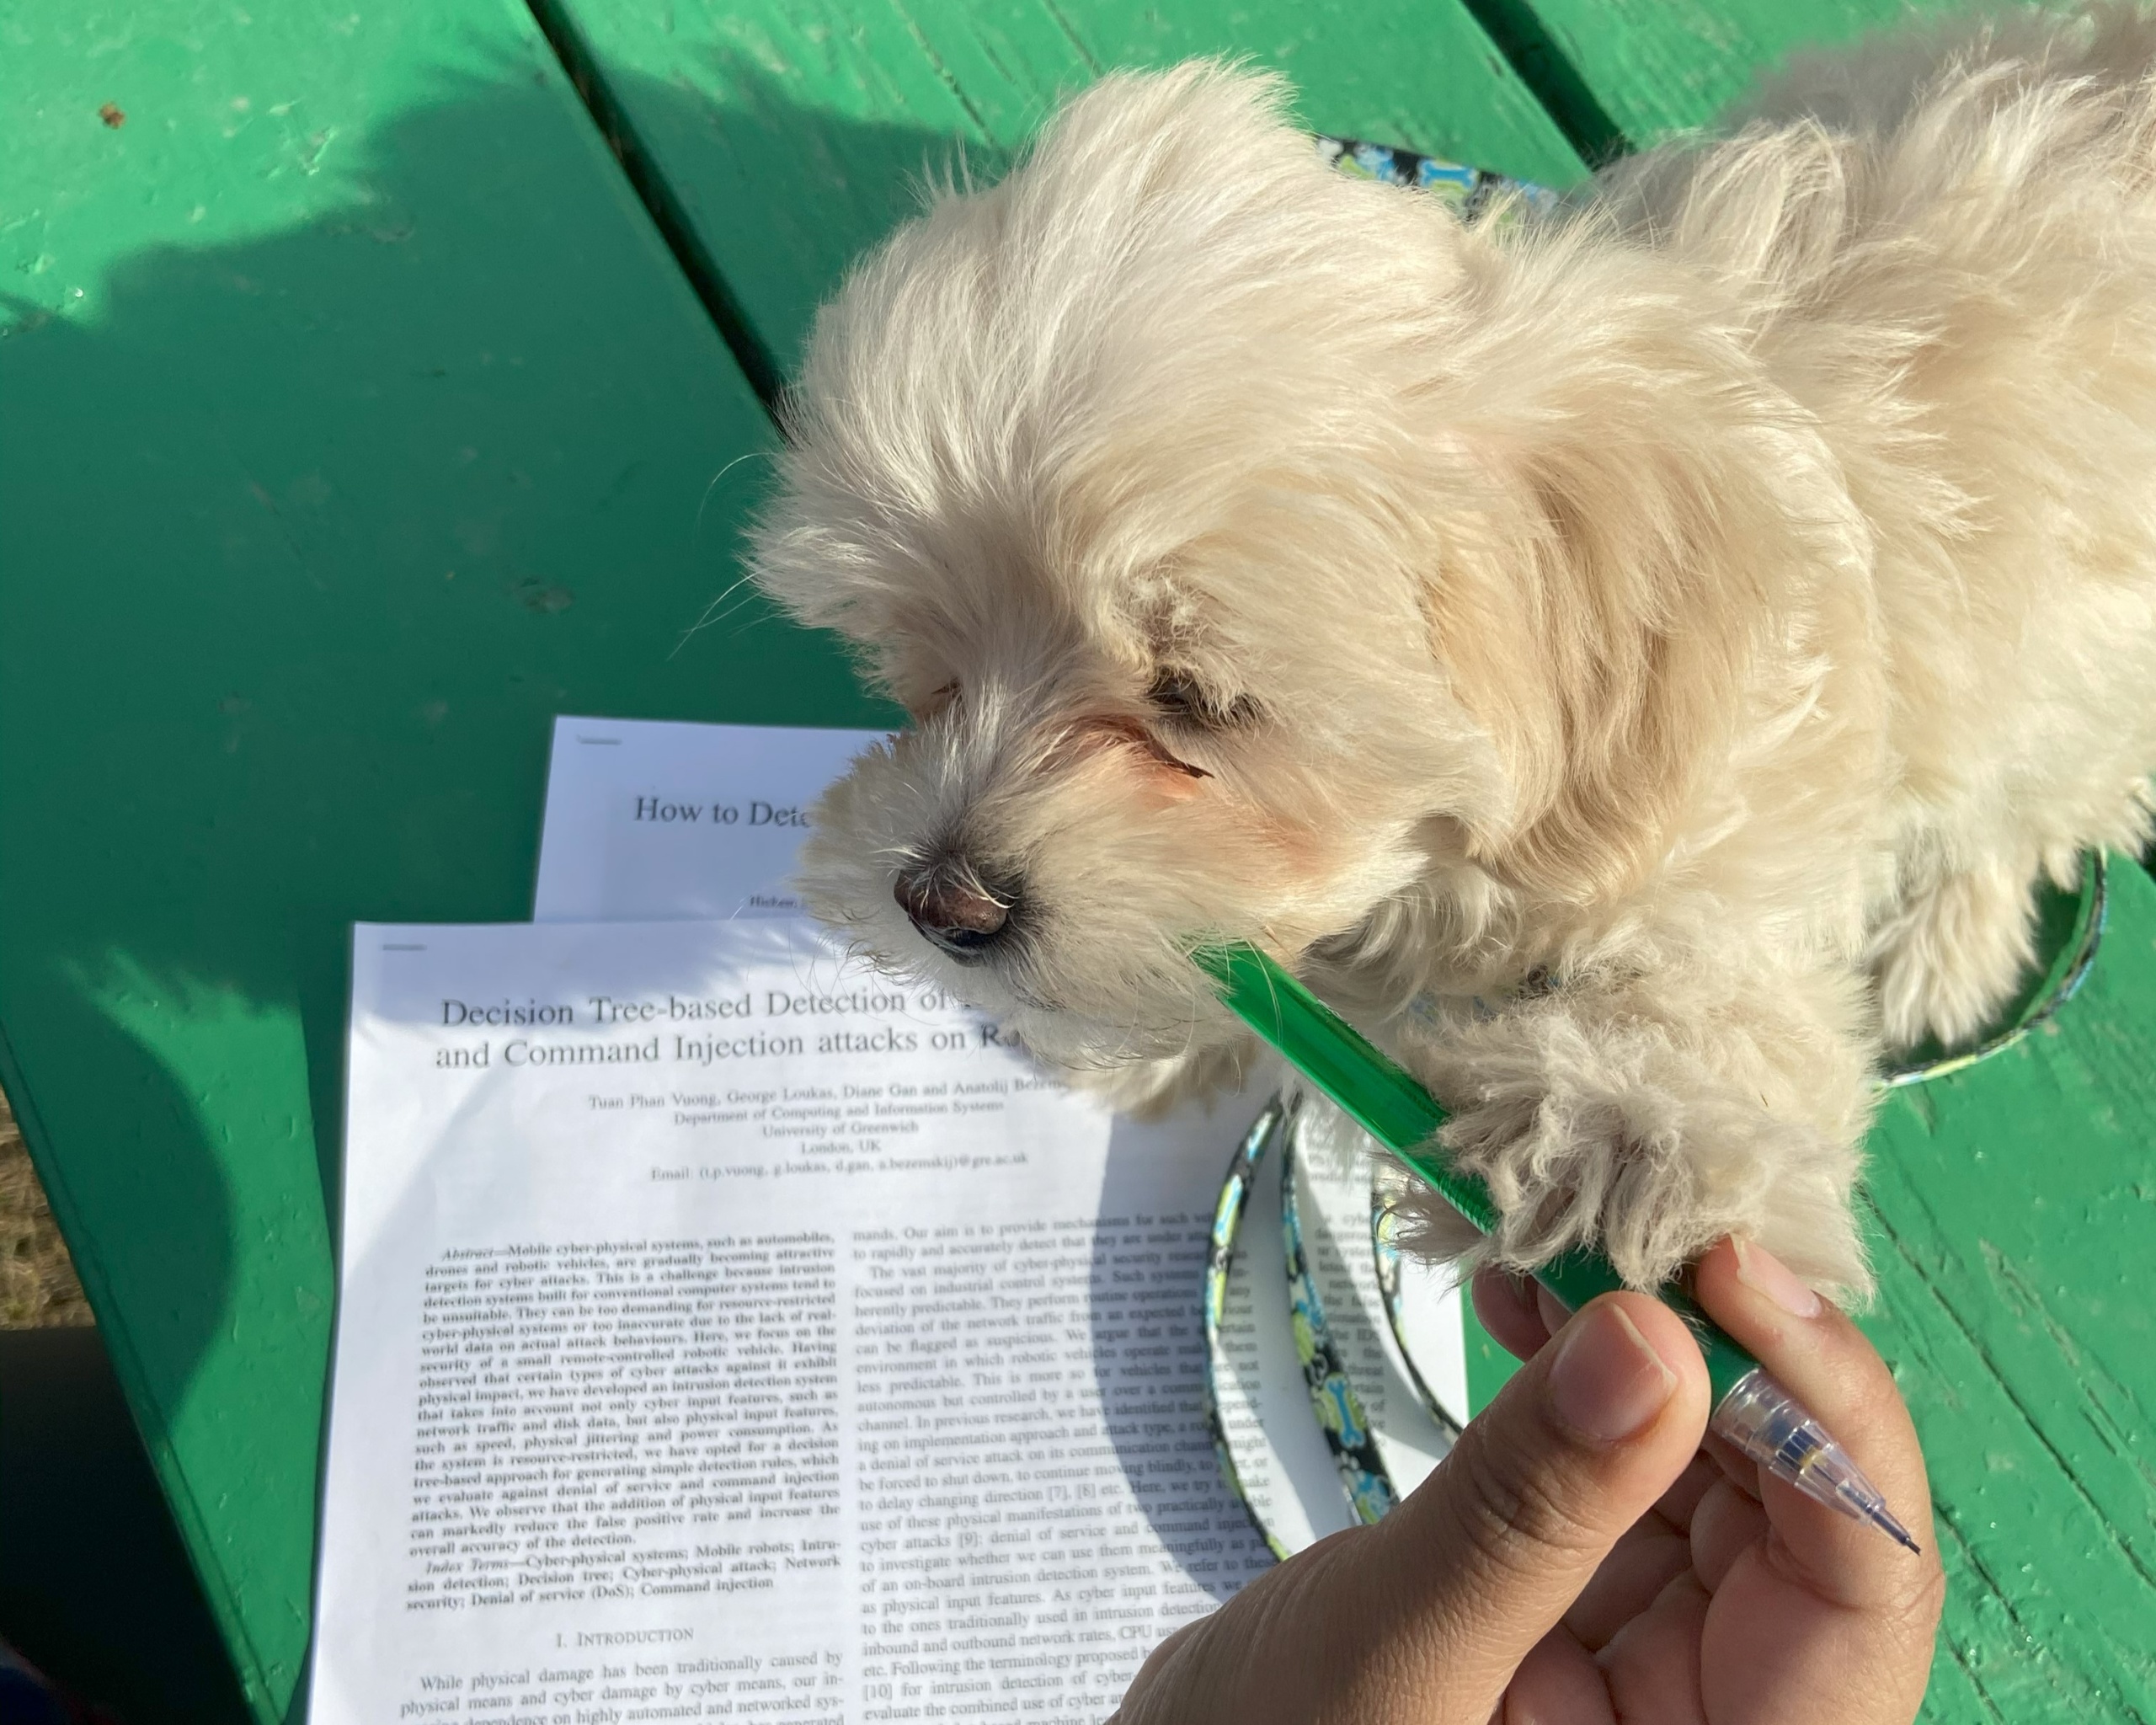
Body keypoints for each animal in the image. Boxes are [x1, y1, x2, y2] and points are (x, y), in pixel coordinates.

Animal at [750, 3, 2156, 1294]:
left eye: (1196, 701)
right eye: (926, 665)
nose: (941, 903)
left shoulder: (1739, 833)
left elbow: (1737, 1004)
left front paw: (1625, 1125)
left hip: (2078, 681)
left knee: (2035, 806)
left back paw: (1950, 938)